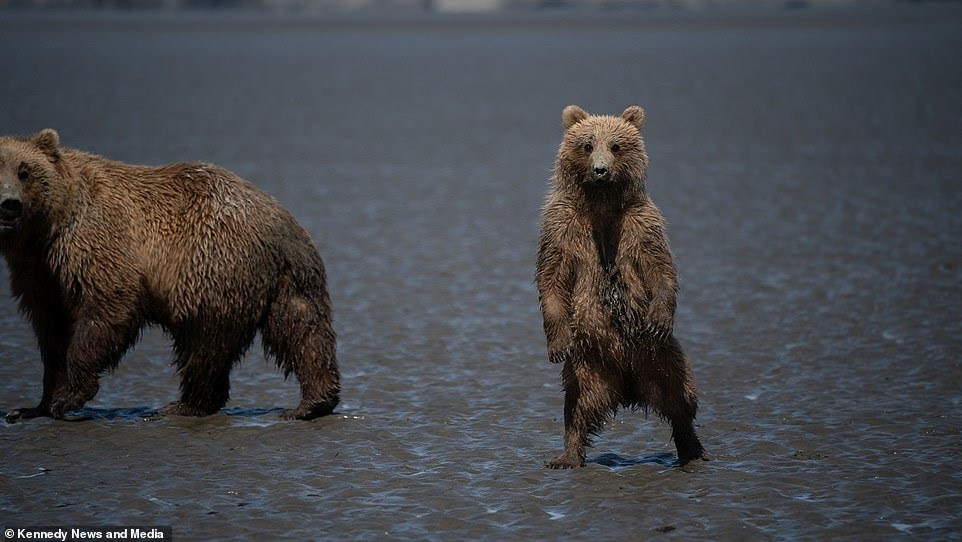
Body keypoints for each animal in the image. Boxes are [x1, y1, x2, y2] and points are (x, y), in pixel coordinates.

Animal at [0, 130, 338, 422]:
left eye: (24, 171)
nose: (9, 205)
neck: (49, 229)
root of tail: (281, 220)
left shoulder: (96, 241)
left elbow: (104, 309)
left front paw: (69, 396)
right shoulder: (38, 273)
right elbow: (52, 332)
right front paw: (34, 406)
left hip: (209, 264)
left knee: (204, 344)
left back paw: (182, 405)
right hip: (289, 280)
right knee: (301, 332)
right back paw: (313, 402)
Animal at [532, 105, 704, 468]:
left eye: (616, 146)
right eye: (587, 145)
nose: (600, 170)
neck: (601, 204)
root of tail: (628, 388)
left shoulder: (640, 226)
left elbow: (660, 268)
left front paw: (659, 317)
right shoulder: (562, 227)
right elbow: (550, 277)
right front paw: (557, 344)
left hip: (661, 356)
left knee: (680, 398)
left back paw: (692, 451)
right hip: (588, 365)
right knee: (577, 406)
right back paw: (567, 455)